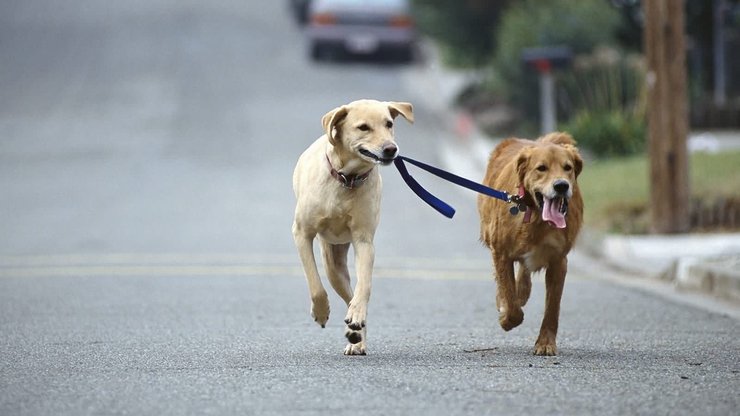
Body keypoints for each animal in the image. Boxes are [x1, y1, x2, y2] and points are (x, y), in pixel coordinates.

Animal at [292, 99, 414, 356]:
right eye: (363, 127)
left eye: (389, 124)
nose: (391, 149)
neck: (346, 179)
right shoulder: (301, 233)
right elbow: (315, 284)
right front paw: (321, 312)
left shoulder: (364, 240)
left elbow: (364, 286)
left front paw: (357, 317)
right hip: (332, 264)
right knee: (339, 288)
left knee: (353, 296)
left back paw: (356, 334)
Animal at [480, 132, 584, 354]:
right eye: (541, 168)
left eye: (568, 167)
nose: (561, 185)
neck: (537, 217)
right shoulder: (501, 252)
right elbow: (510, 299)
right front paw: (506, 318)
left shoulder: (559, 261)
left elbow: (552, 308)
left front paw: (545, 343)